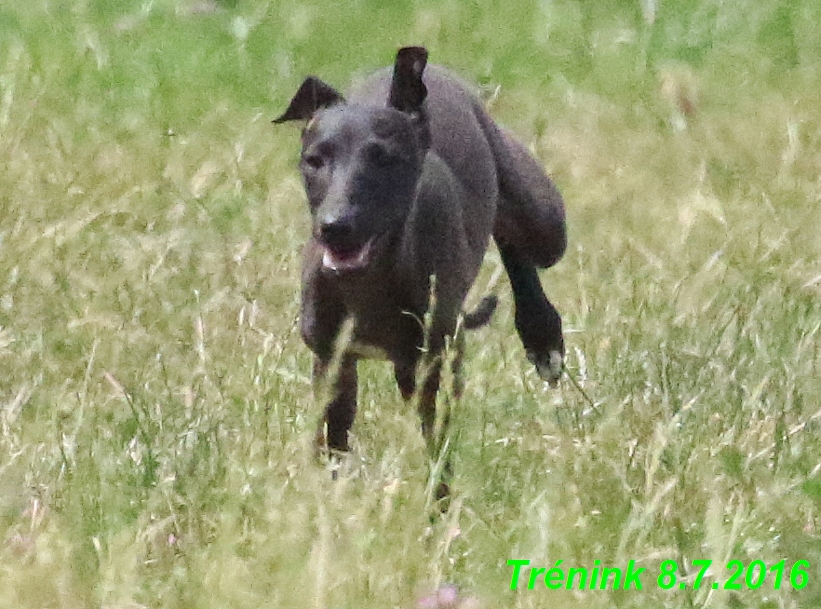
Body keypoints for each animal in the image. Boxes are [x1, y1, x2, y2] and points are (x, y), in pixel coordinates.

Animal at [276, 45, 564, 490]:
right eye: (314, 160)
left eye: (383, 158)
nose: (334, 228)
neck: (367, 281)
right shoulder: (333, 360)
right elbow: (333, 437)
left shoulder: (434, 363)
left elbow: (438, 445)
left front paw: (437, 505)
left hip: (542, 218)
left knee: (517, 238)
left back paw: (542, 335)